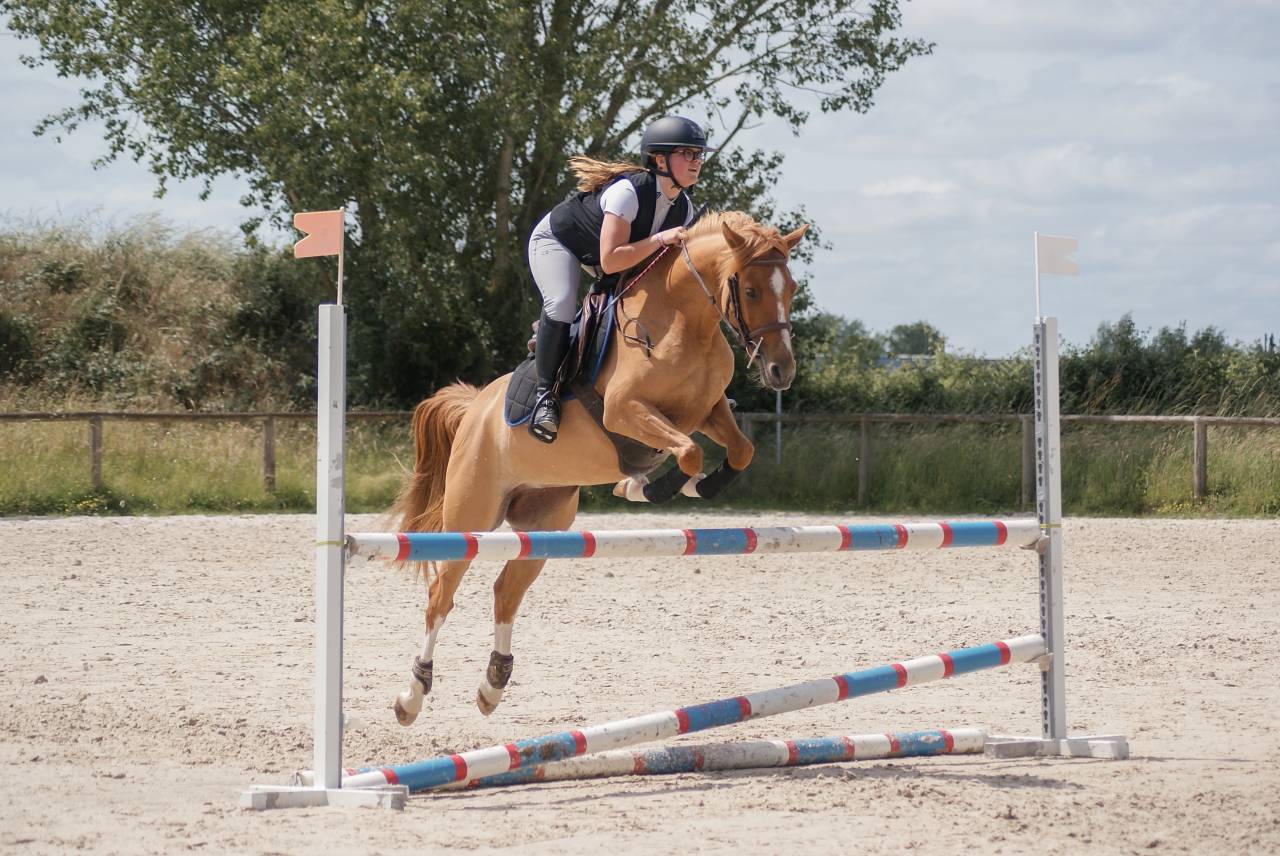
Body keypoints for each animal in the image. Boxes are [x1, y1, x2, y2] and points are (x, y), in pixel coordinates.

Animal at [389, 210, 808, 724]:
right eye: (749, 290)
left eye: (791, 288)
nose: (781, 372)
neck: (688, 323)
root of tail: (474, 408)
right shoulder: (625, 411)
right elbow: (688, 451)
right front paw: (647, 488)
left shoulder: (707, 411)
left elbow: (738, 450)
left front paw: (692, 488)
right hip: (472, 516)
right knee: (441, 596)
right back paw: (412, 695)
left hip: (545, 523)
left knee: (506, 591)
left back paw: (492, 686)